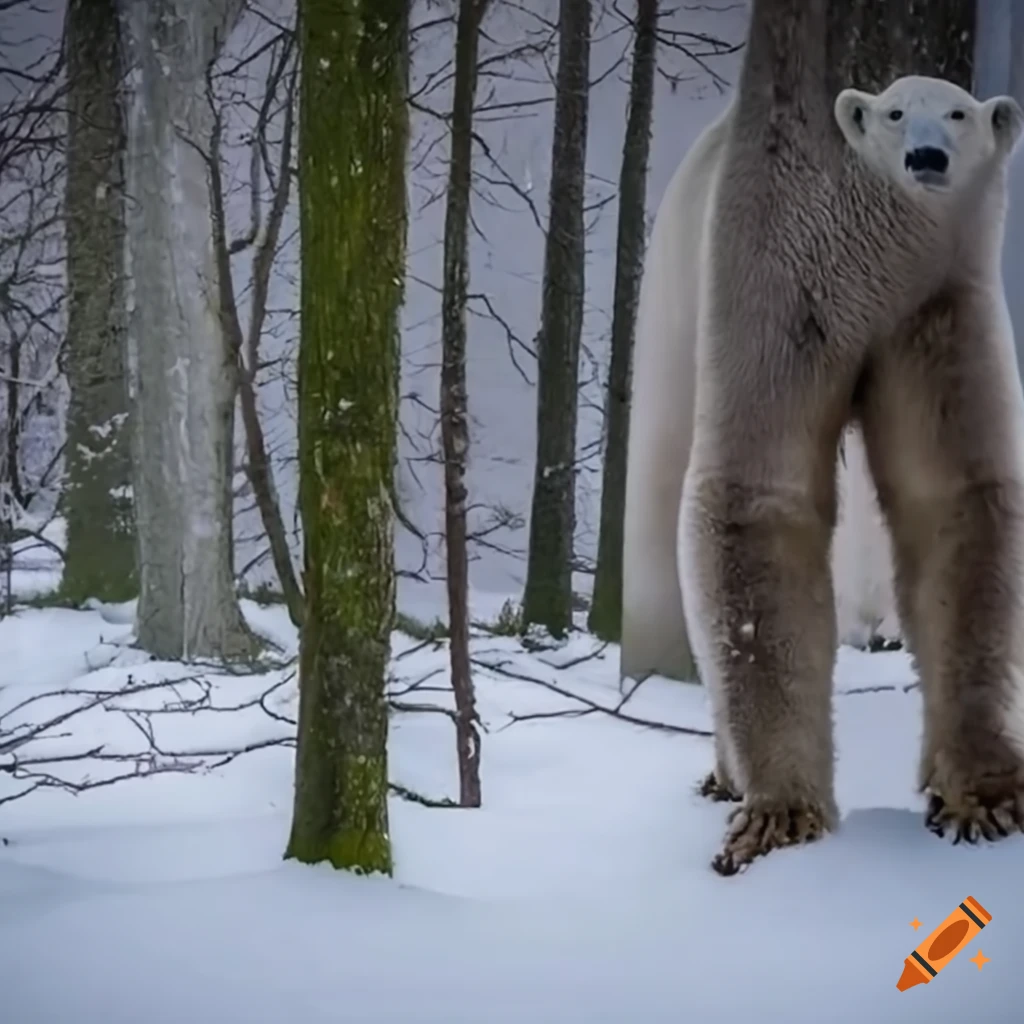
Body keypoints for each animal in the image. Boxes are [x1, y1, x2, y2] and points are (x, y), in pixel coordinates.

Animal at [678, 41, 1024, 879]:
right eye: (896, 113)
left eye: (958, 112)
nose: (928, 156)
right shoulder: (787, 283)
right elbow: (760, 496)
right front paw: (779, 815)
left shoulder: (938, 310)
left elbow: (953, 498)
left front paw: (983, 800)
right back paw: (724, 774)